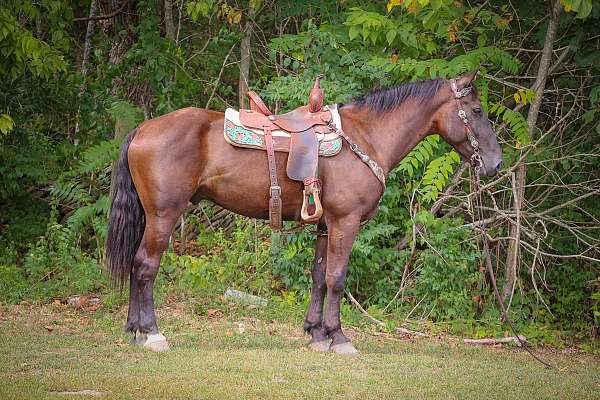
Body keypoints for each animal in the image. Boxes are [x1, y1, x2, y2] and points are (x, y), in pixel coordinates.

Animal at [106, 70, 502, 354]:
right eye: (477, 111)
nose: (496, 163)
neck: (366, 136)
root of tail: (143, 128)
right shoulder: (346, 222)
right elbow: (337, 278)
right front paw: (339, 337)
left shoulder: (326, 224)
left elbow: (318, 277)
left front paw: (317, 334)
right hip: (164, 215)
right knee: (145, 265)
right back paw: (152, 333)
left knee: (135, 265)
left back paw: (134, 330)